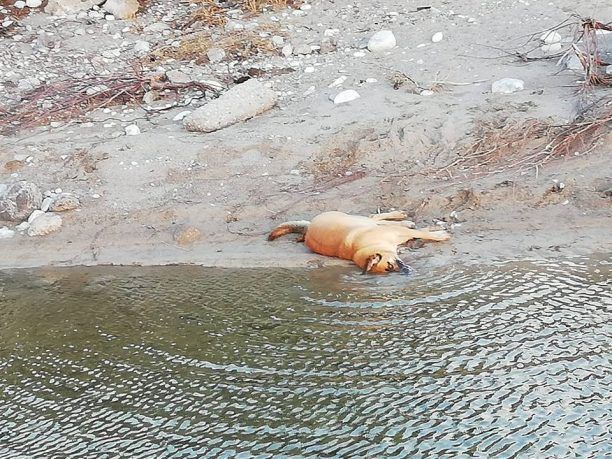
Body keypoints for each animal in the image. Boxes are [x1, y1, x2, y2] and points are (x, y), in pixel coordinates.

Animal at [268, 211, 450, 274]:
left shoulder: (400, 233)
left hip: (357, 219)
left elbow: (424, 233)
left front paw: (439, 234)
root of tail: (310, 226)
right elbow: (421, 232)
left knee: (375, 217)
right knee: (377, 220)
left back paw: (401, 216)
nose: (407, 272)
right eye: (389, 268)